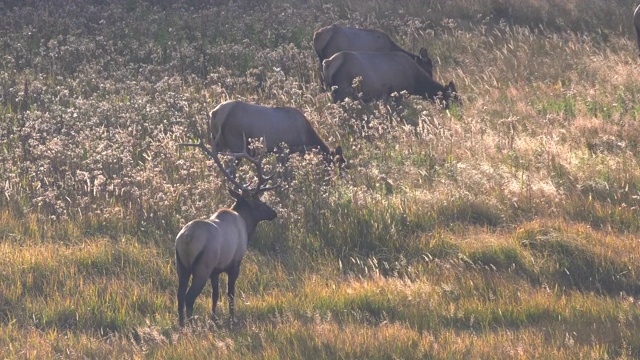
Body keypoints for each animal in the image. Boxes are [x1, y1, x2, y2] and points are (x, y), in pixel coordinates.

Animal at [175, 139, 278, 326]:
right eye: (259, 202)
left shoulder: (216, 270)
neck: (246, 226)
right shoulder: (234, 263)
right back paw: (191, 324)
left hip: (181, 265)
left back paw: (181, 324)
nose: (273, 213)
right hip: (202, 266)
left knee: (179, 295)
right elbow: (230, 294)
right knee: (189, 297)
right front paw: (232, 319)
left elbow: (215, 294)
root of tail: (186, 239)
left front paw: (215, 317)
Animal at [208, 99, 342, 165]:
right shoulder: (285, 152)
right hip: (236, 145)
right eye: (341, 164)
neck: (307, 137)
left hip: (219, 143)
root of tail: (214, 113)